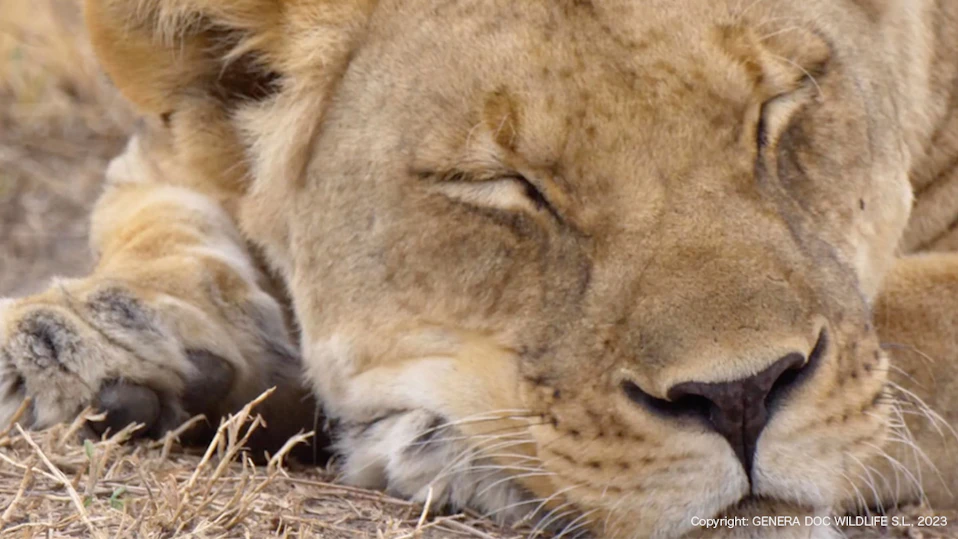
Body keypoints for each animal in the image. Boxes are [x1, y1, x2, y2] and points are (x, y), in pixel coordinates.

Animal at [1, 0, 958, 536]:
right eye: (500, 185)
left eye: (778, 108)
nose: (741, 397)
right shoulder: (167, 152)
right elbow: (160, 218)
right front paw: (70, 340)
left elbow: (900, 326)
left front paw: (451, 448)